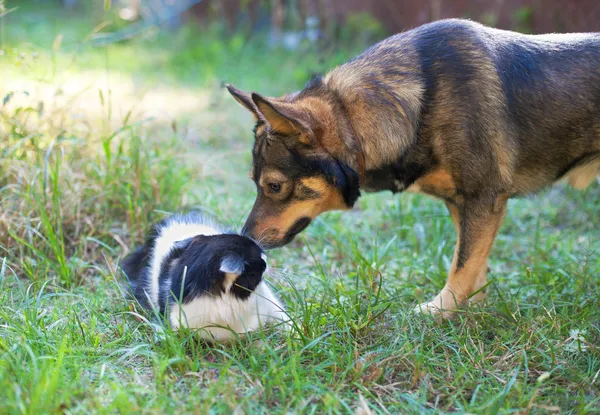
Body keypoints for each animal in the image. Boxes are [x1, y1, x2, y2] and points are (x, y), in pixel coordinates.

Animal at [226, 18, 600, 318]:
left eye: (274, 186)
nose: (246, 240)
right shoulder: (461, 204)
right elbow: (473, 263)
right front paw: (471, 308)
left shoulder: (484, 199)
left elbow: (462, 265)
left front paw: (440, 312)